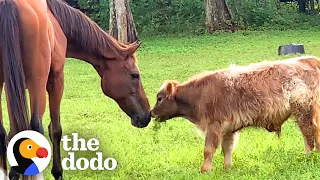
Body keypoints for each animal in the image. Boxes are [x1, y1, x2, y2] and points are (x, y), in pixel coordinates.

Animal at [0, 0, 151, 179]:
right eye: (135, 75)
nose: (147, 115)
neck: (55, 18)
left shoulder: (13, 87)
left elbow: (14, 131)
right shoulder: (56, 80)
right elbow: (54, 129)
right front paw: (57, 172)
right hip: (38, 82)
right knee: (36, 126)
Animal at [150, 56, 320, 173]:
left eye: (159, 98)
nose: (151, 113)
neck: (200, 95)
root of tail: (309, 60)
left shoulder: (214, 125)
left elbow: (208, 149)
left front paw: (205, 170)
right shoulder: (228, 129)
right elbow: (227, 149)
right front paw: (227, 168)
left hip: (303, 112)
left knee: (308, 135)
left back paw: (307, 157)